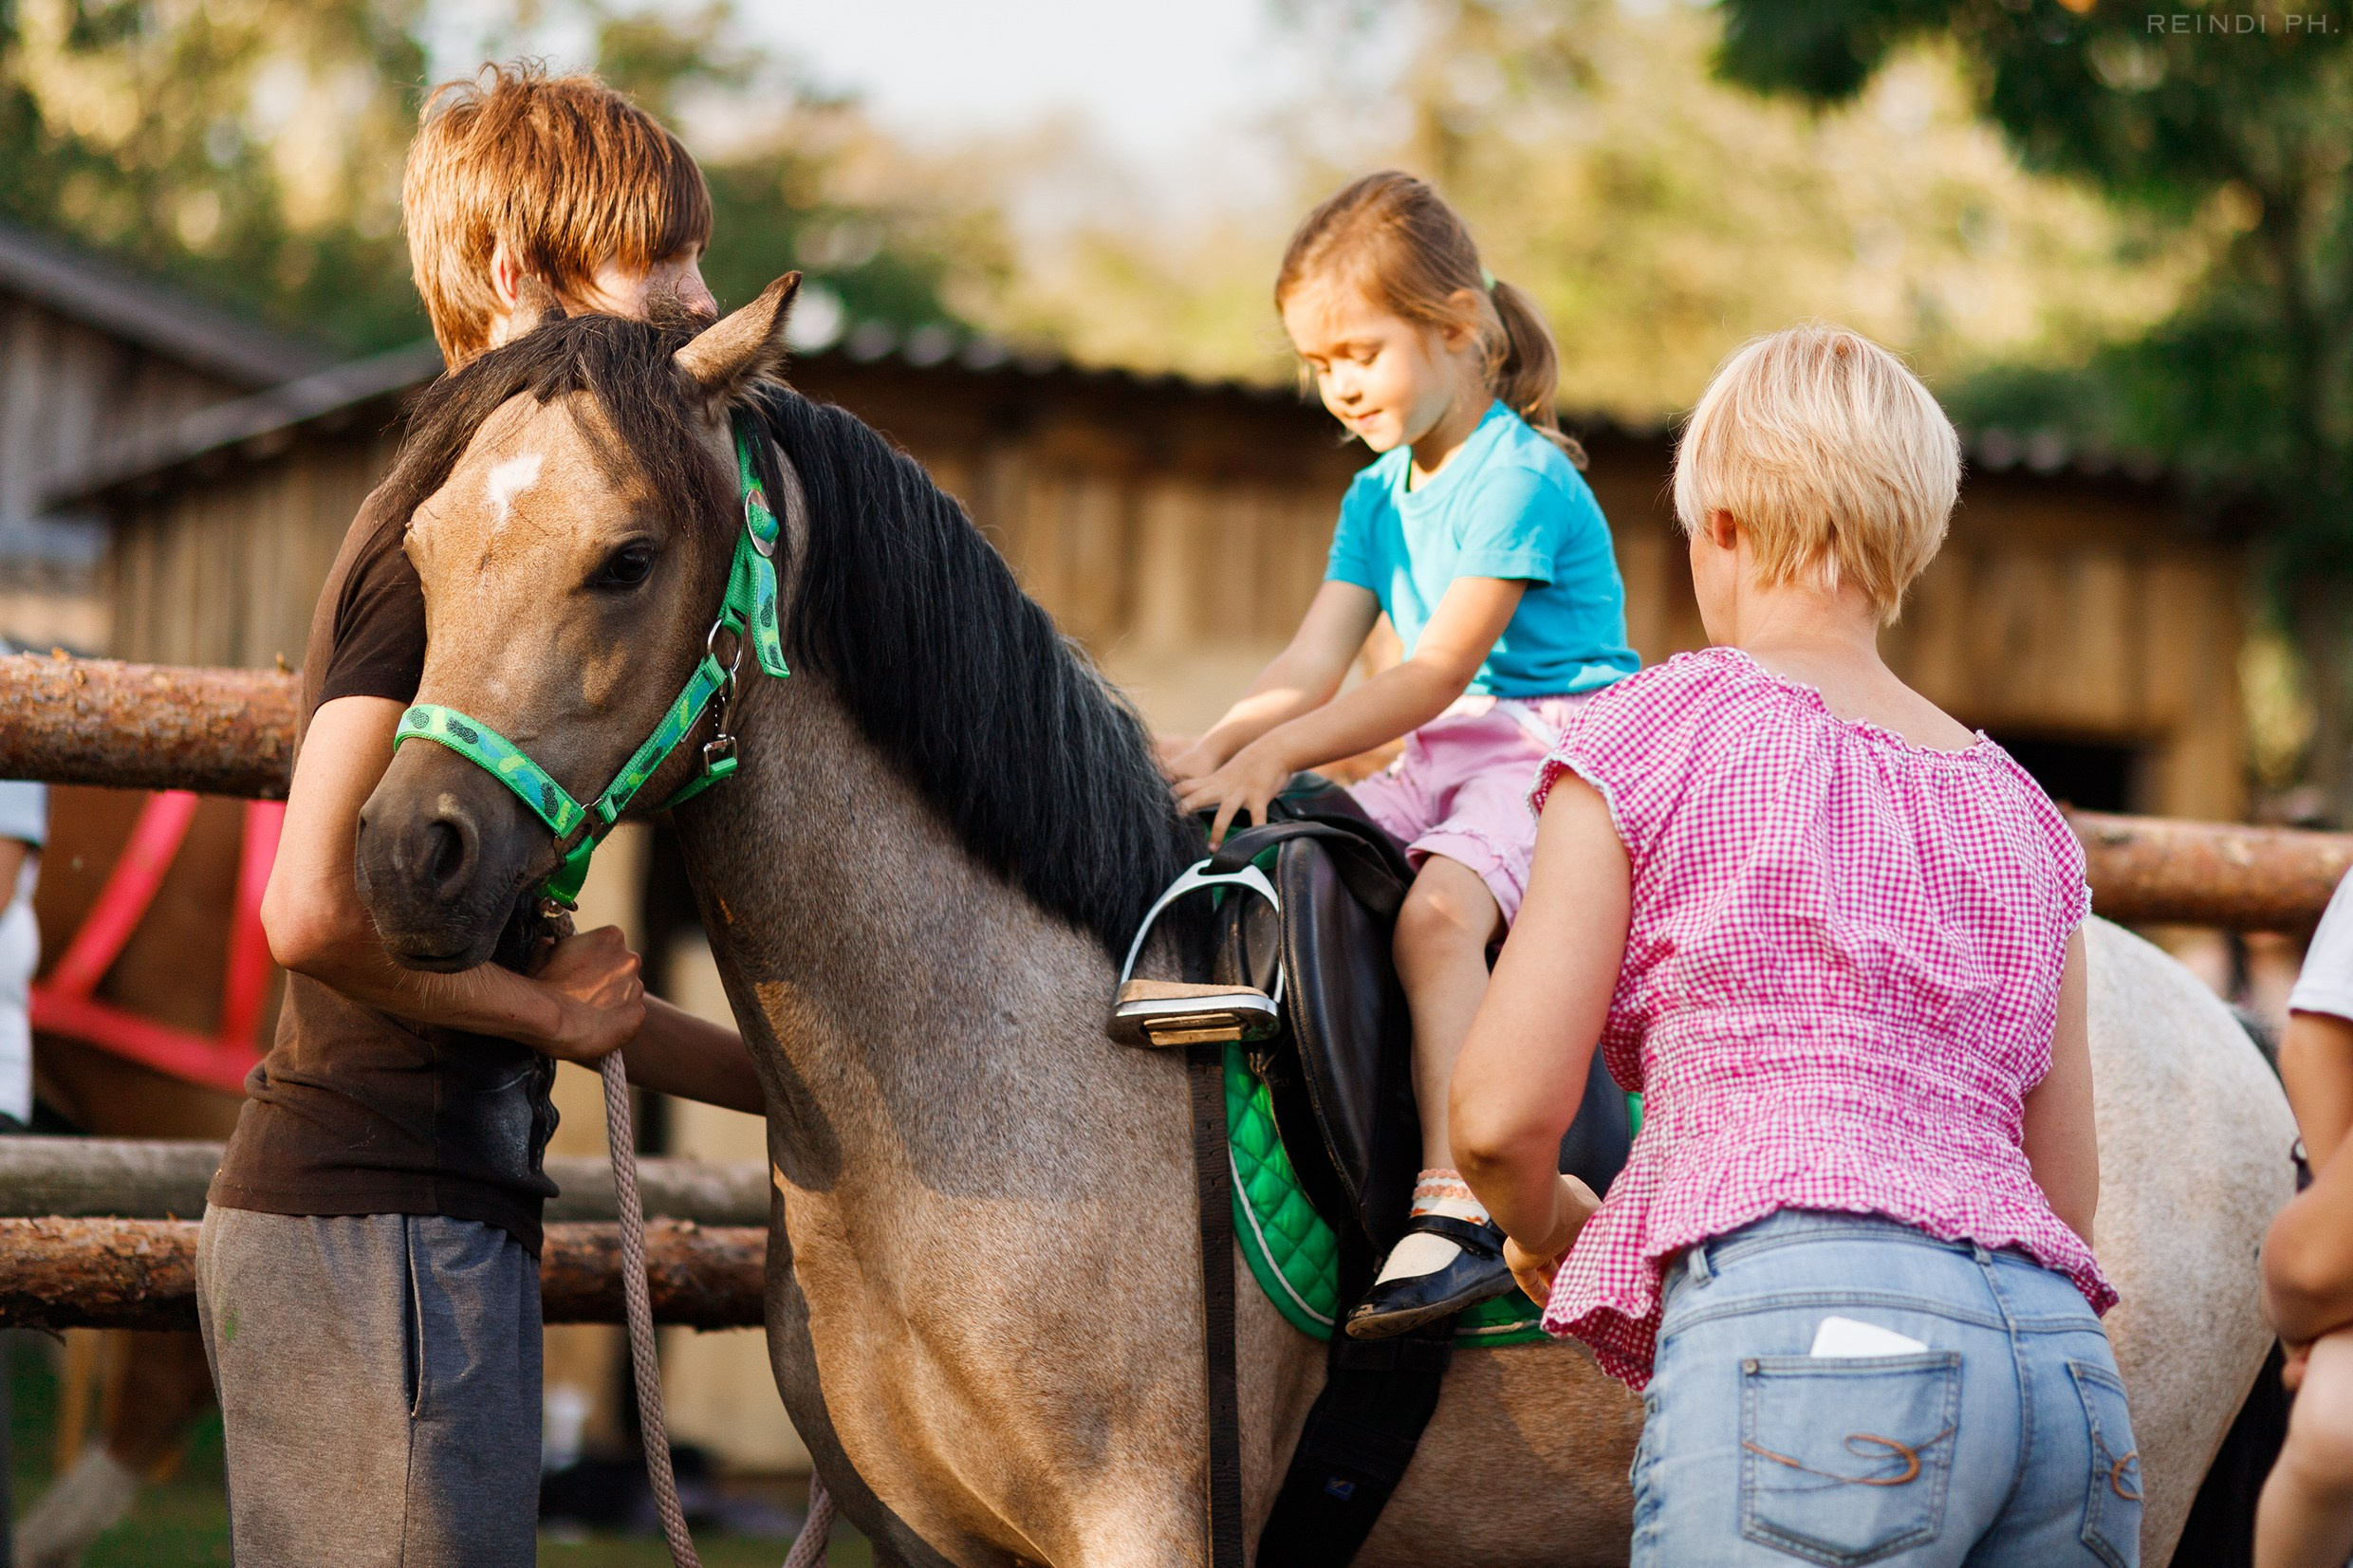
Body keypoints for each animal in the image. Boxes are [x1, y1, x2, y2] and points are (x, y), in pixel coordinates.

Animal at [346, 277, 2294, 1566]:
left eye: (624, 557)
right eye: (427, 556)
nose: (405, 854)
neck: (1000, 1076)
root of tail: (2231, 1049)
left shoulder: (1151, 1528)